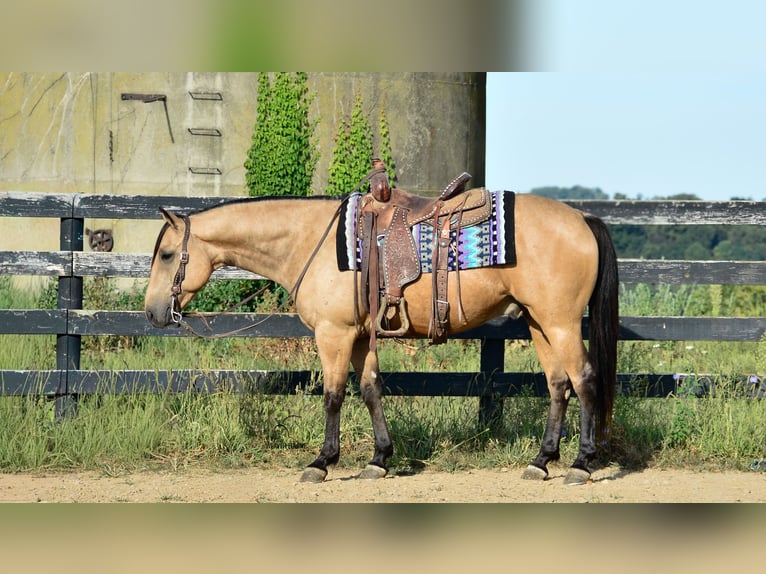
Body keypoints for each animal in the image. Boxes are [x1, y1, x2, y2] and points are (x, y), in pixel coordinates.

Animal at [144, 189, 619, 486]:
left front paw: (322, 462)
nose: (152, 313)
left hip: (560, 323)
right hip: (540, 323)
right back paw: (541, 462)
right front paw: (379, 459)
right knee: (558, 385)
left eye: (167, 255)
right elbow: (371, 390)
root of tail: (582, 217)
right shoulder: (359, 337)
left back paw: (581, 464)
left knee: (585, 381)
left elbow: (334, 395)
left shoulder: (334, 335)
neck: (310, 242)